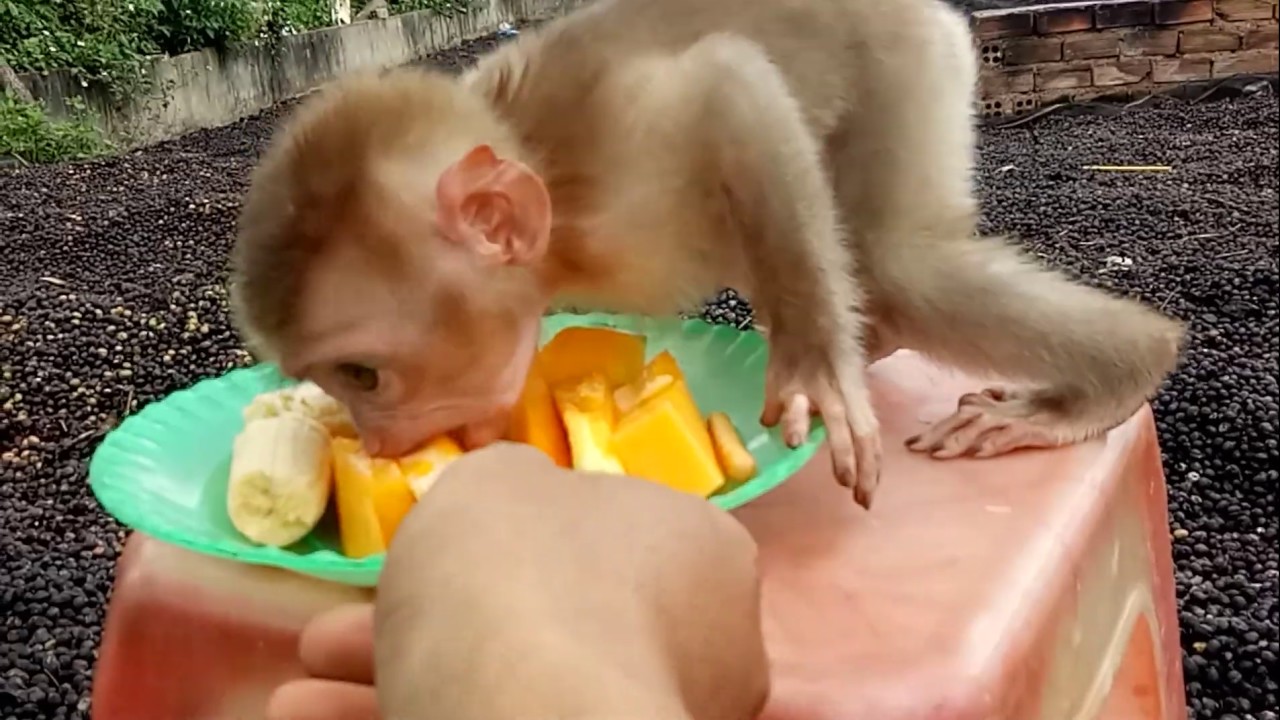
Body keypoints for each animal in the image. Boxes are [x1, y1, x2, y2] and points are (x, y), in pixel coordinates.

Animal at [229, 0, 1185, 511]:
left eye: (364, 375)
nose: (377, 441)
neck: (557, 242)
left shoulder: (624, 165)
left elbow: (731, 82)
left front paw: (813, 367)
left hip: (914, 56)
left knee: (897, 262)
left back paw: (1117, 375)